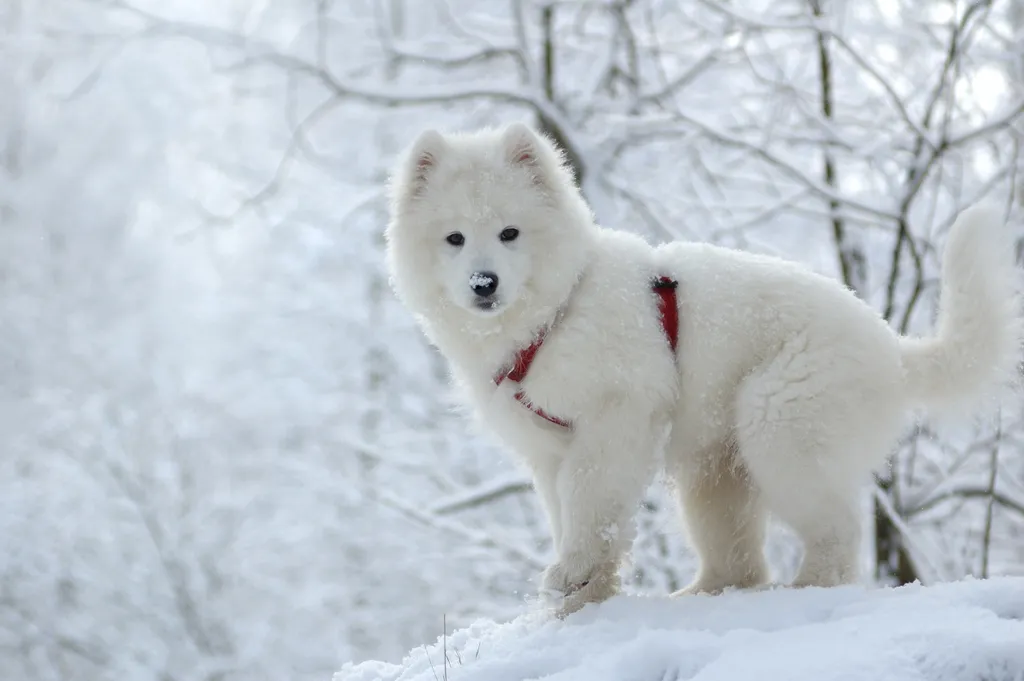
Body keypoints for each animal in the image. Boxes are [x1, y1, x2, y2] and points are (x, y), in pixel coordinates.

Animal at [382, 122, 1015, 614]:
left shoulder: (618, 416)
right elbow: (570, 512)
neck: (557, 314)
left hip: (781, 429)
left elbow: (592, 502)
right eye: (454, 238)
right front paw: (582, 595)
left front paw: (575, 576)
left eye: (510, 232)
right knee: (741, 562)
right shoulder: (547, 448)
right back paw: (700, 595)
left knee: (836, 533)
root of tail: (892, 346)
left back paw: (805, 590)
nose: (483, 283)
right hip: (715, 473)